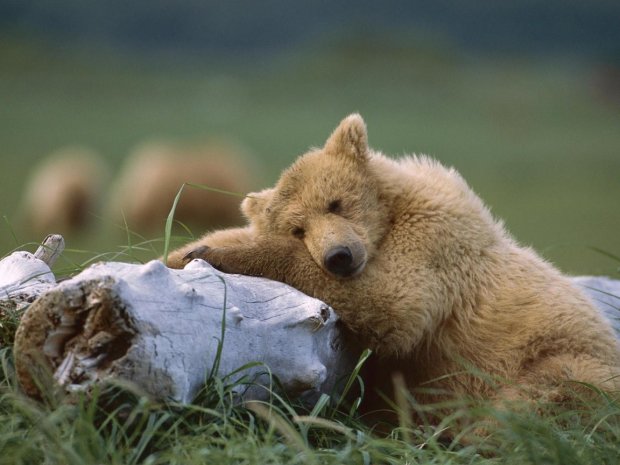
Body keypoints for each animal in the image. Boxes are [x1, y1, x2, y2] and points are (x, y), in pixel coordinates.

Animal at [166, 114, 620, 412]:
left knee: (546, 394)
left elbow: (392, 303)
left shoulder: (435, 242)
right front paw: (184, 251)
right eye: (298, 228)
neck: (390, 216)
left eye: (335, 203)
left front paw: (216, 254)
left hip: (558, 356)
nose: (339, 257)